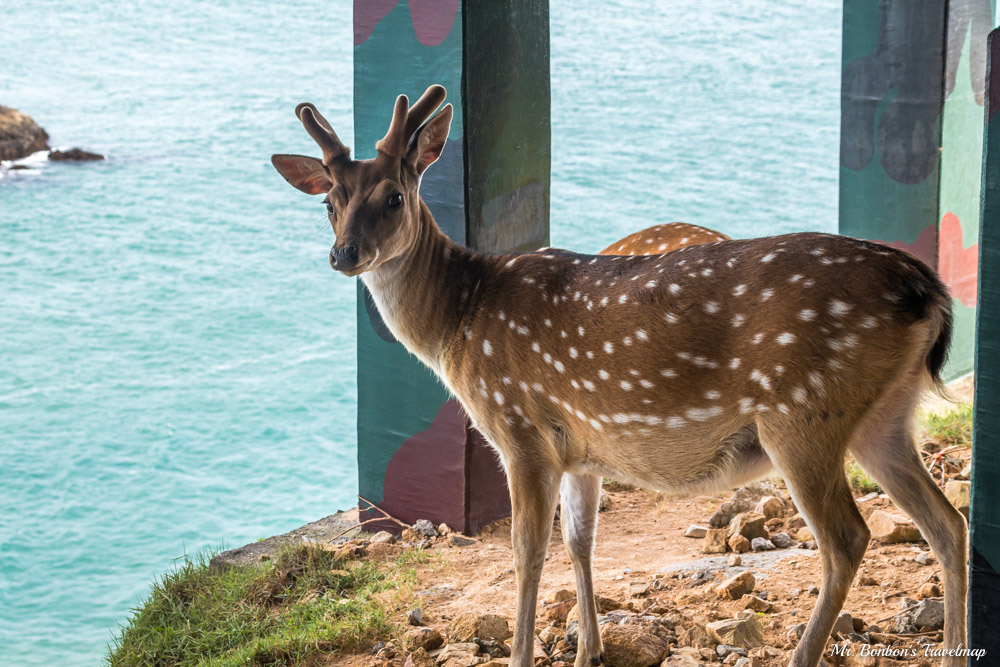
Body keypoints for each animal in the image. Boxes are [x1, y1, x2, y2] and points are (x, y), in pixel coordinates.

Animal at [272, 86, 968, 664]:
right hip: (884, 417)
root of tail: (928, 290)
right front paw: (589, 650)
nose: (344, 254)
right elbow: (580, 541)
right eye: (329, 203)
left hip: (803, 412)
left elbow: (527, 552)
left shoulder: (521, 430)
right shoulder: (582, 449)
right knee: (946, 522)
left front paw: (526, 654)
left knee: (849, 537)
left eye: (394, 196)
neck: (460, 321)